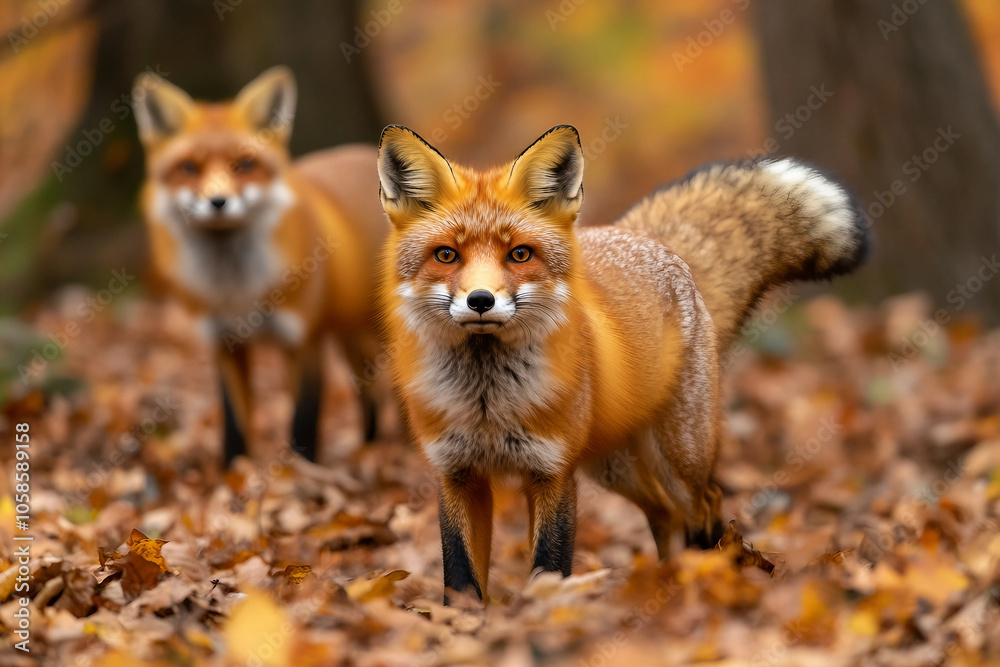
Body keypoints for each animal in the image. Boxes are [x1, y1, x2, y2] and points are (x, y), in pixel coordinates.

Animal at [132, 66, 388, 465]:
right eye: (189, 168)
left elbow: (302, 424)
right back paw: (370, 449)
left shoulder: (302, 341)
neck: (238, 290)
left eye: (244, 165)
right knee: (372, 395)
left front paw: (299, 473)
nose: (217, 202)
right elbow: (235, 426)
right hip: (351, 334)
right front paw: (233, 472)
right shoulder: (225, 344)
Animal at [376, 124, 869, 603]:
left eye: (519, 254)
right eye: (446, 255)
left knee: (705, 503)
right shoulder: (457, 474)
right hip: (613, 466)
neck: (488, 405)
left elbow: (549, 565)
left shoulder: (552, 472)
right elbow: (460, 578)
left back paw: (703, 571)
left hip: (678, 456)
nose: (481, 300)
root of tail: (649, 240)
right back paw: (668, 579)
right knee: (664, 514)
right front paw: (465, 622)